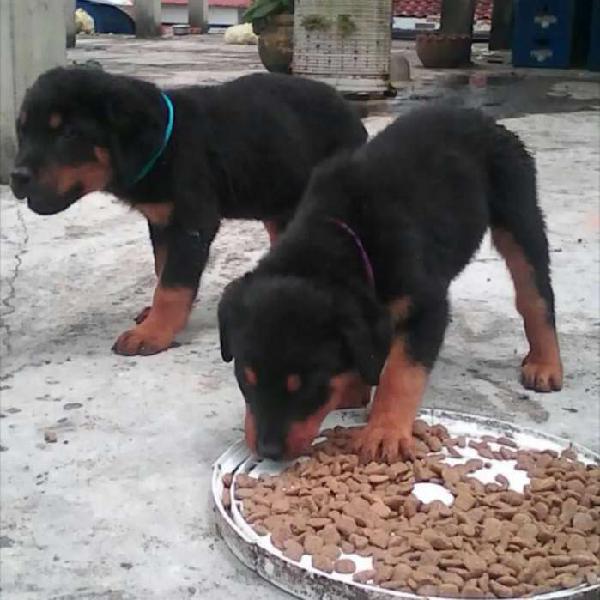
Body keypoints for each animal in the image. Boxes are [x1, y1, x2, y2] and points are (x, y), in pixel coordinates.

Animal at [10, 67, 366, 354]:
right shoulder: (161, 220)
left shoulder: (192, 222)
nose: (16, 176)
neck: (163, 146)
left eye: (69, 133)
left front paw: (152, 333)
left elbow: (172, 284)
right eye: (23, 131)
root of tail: (354, 116)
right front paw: (155, 318)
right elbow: (163, 270)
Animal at [219, 106, 564, 464]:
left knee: (535, 295)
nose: (268, 451)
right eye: (245, 377)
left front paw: (384, 431)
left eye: (309, 386)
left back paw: (545, 364)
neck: (344, 234)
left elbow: (401, 373)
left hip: (519, 213)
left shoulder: (426, 305)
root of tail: (477, 115)